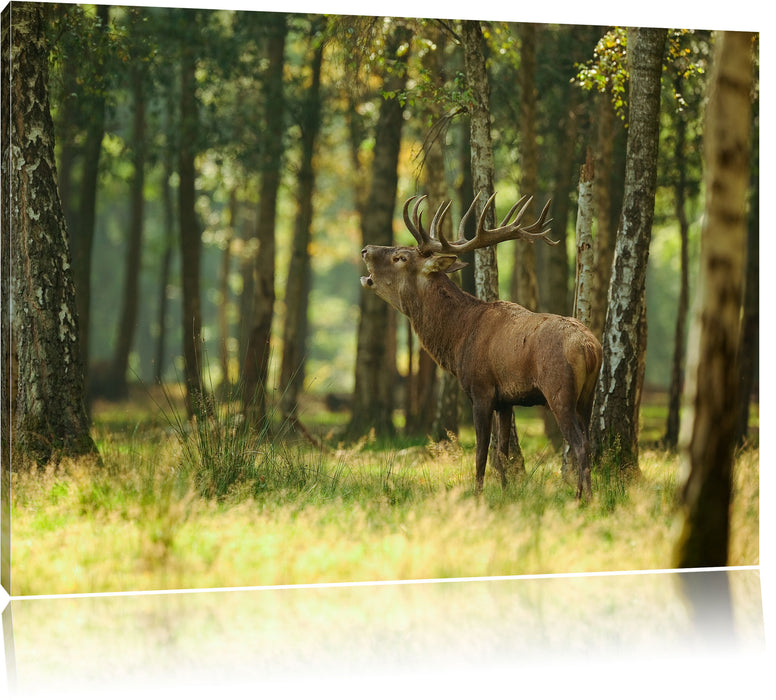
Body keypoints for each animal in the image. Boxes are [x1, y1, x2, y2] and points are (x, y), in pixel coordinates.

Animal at [360, 192, 602, 499]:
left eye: (400, 257)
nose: (365, 249)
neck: (458, 338)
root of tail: (590, 348)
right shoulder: (506, 400)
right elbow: (502, 454)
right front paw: (506, 492)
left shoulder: (481, 389)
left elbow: (481, 453)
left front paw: (477, 494)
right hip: (588, 395)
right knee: (589, 442)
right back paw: (585, 495)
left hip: (560, 391)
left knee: (580, 444)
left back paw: (583, 498)